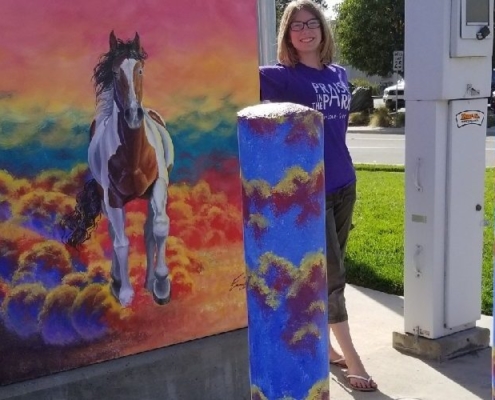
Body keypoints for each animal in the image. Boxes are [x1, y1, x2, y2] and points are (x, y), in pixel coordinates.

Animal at [64, 32, 174, 306]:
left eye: (140, 69)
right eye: (115, 73)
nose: (133, 114)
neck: (133, 155)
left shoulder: (158, 186)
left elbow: (159, 227)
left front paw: (161, 286)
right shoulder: (112, 197)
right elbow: (121, 242)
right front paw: (124, 293)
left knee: (148, 232)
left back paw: (149, 281)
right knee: (115, 234)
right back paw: (116, 281)